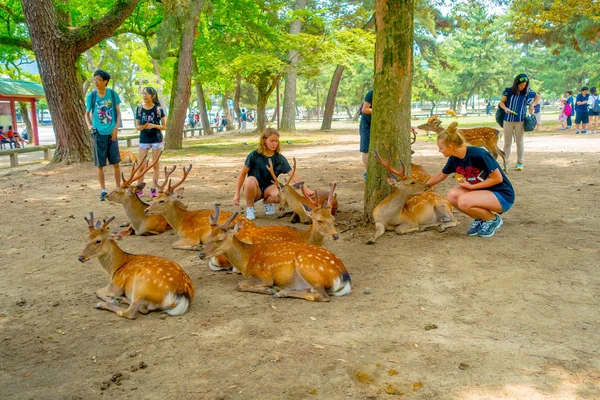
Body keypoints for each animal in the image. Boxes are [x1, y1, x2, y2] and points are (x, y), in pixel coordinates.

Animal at [199, 205, 352, 302]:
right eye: (208, 237)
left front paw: (268, 290)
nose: (201, 254)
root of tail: (344, 276)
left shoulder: (264, 275)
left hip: (306, 265)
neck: (247, 259)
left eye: (220, 239)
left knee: (322, 296)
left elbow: (239, 284)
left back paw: (280, 292)